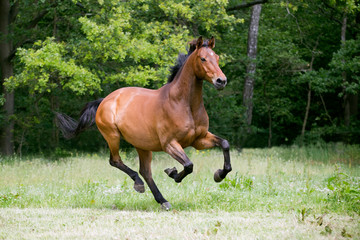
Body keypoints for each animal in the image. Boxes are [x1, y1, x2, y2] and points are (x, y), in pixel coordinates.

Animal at [54, 36, 232, 210]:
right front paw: (173, 174)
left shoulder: (199, 140)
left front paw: (218, 175)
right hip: (112, 137)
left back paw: (163, 201)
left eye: (217, 58)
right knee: (116, 161)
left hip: (142, 145)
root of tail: (105, 100)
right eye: (203, 58)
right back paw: (139, 185)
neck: (183, 104)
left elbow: (224, 144)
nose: (221, 81)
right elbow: (188, 165)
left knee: (145, 171)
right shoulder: (170, 144)